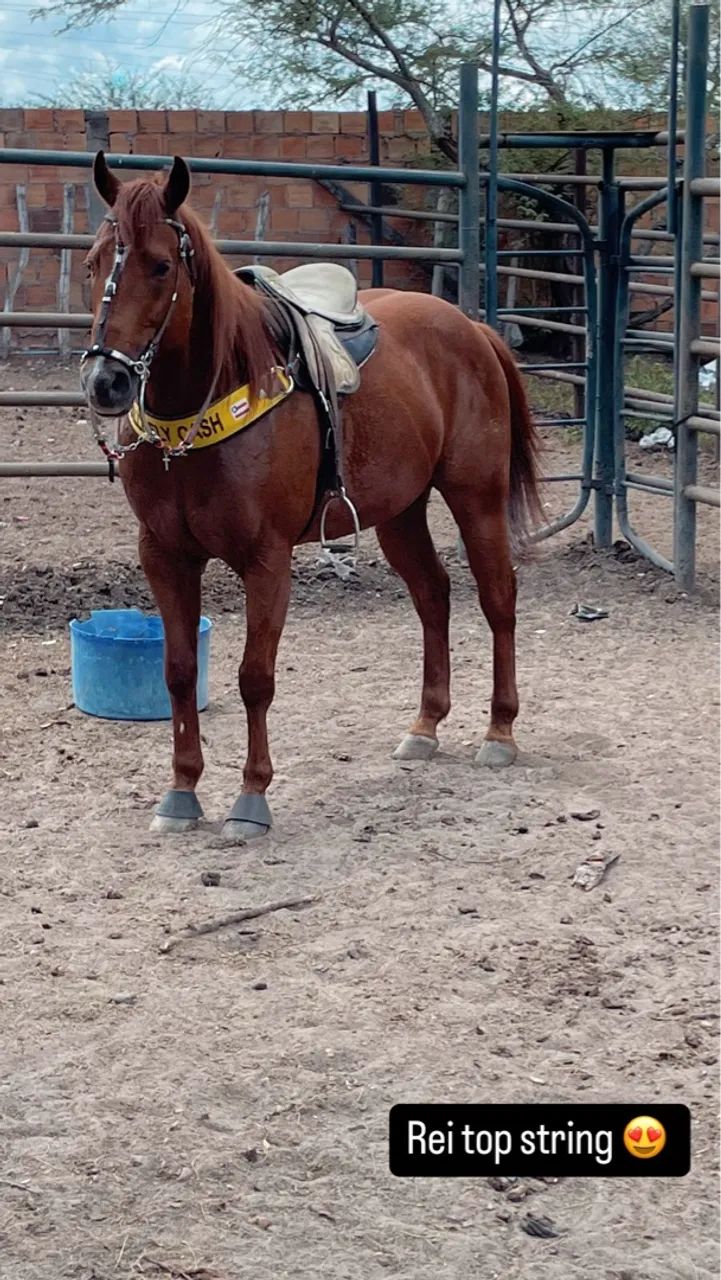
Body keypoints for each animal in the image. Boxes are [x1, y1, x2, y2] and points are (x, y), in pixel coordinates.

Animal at [80, 152, 541, 842]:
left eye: (160, 265)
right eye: (93, 262)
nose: (105, 380)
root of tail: (472, 328)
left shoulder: (266, 561)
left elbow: (255, 678)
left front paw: (251, 799)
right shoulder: (164, 556)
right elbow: (178, 672)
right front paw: (181, 792)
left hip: (476, 499)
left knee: (498, 600)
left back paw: (499, 732)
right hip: (400, 513)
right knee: (433, 596)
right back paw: (425, 726)